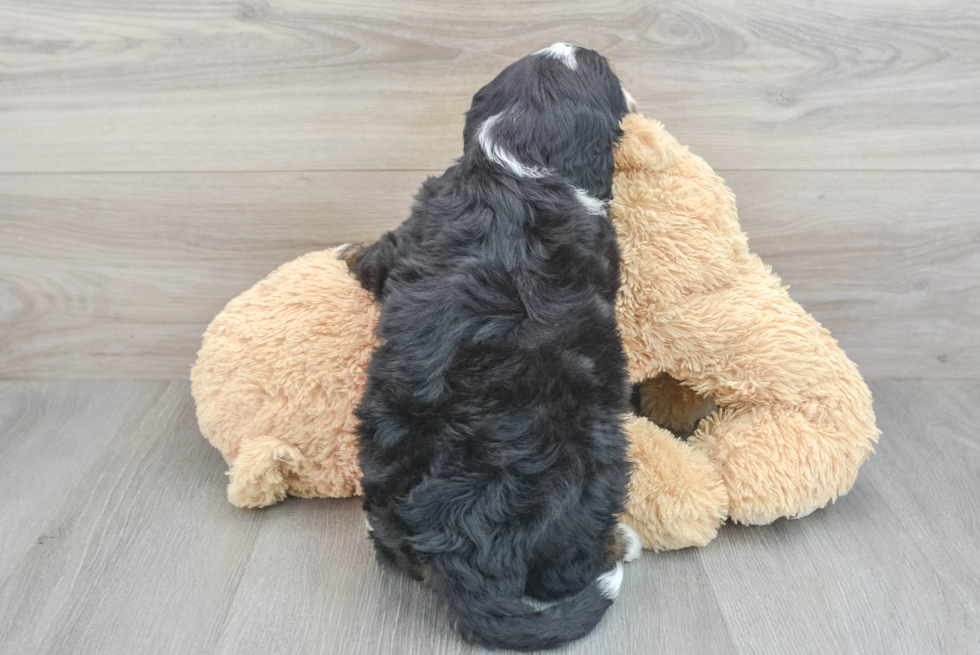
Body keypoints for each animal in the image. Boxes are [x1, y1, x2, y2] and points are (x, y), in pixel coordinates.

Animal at [344, 44, 644, 652]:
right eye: (607, 72)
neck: (510, 161)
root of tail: (457, 538)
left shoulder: (406, 236)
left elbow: (376, 255)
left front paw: (348, 252)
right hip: (598, 460)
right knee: (563, 573)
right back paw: (618, 544)